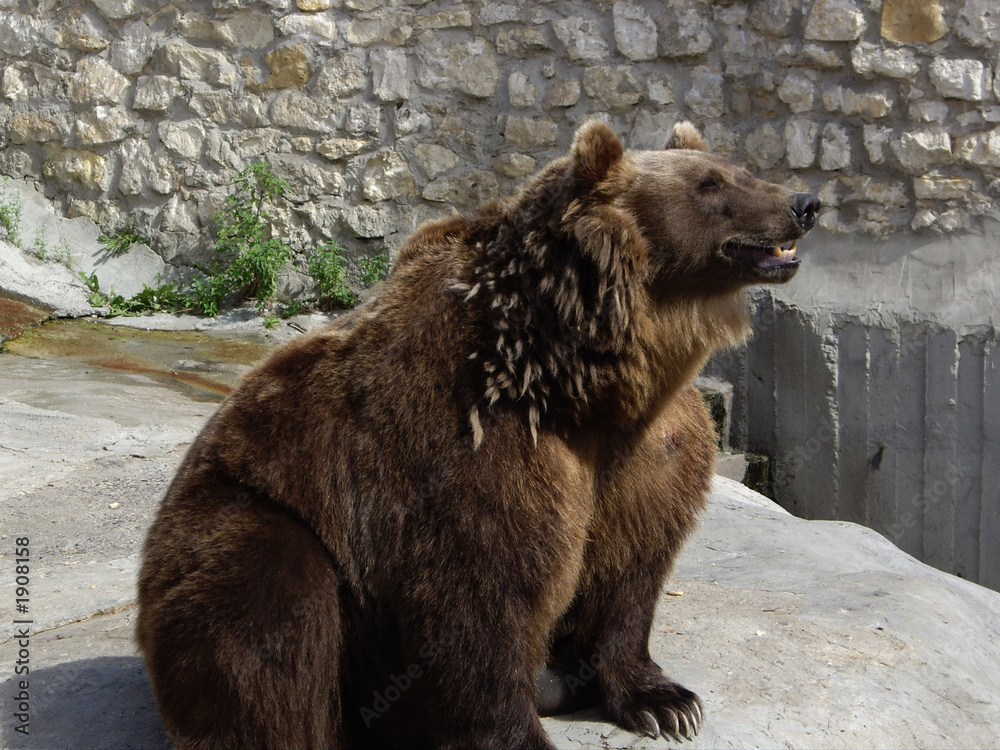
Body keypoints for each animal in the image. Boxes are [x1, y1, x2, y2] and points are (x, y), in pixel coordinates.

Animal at [137, 119, 818, 750]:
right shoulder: (472, 442)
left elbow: (631, 566)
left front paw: (665, 702)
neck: (578, 376)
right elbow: (479, 600)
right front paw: (521, 733)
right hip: (248, 520)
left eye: (734, 168)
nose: (804, 203)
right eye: (710, 184)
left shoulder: (651, 449)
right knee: (270, 606)